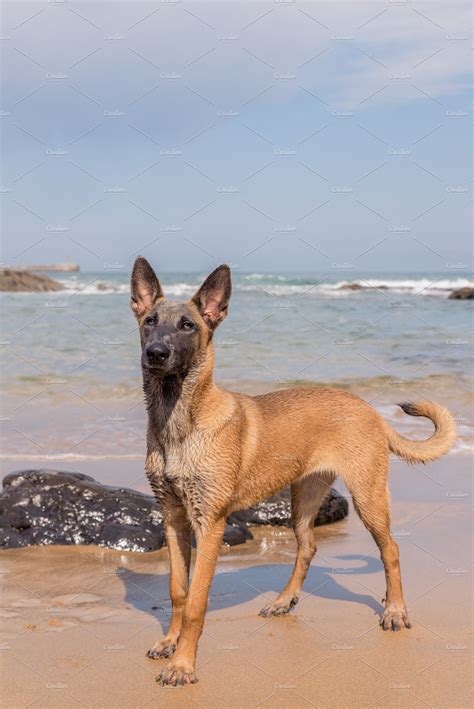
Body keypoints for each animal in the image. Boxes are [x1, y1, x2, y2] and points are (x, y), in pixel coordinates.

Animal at [130, 258, 456, 684]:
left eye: (188, 325)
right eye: (149, 321)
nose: (155, 353)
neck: (180, 423)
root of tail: (368, 408)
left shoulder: (210, 523)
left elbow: (198, 602)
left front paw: (183, 665)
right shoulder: (174, 519)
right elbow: (178, 591)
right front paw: (170, 643)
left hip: (368, 497)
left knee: (392, 550)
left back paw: (395, 611)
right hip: (304, 499)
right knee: (308, 546)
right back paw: (284, 600)